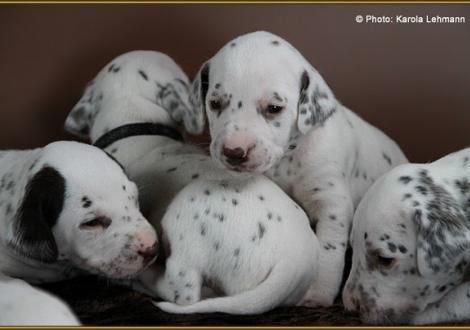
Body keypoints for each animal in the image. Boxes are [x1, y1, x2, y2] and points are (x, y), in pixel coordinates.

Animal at [189, 31, 410, 306]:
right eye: (215, 103)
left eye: (274, 108)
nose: (234, 152)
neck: (288, 160)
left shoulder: (332, 205)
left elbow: (327, 253)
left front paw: (317, 293)